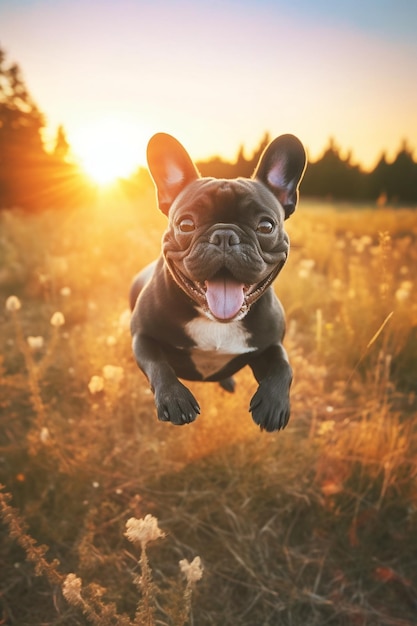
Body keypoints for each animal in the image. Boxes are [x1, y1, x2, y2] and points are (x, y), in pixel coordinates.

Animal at [130, 132, 306, 428]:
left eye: (266, 226)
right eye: (186, 224)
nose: (225, 235)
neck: (216, 321)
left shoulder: (270, 346)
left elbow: (284, 366)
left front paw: (274, 404)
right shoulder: (142, 336)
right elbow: (157, 363)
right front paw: (174, 398)